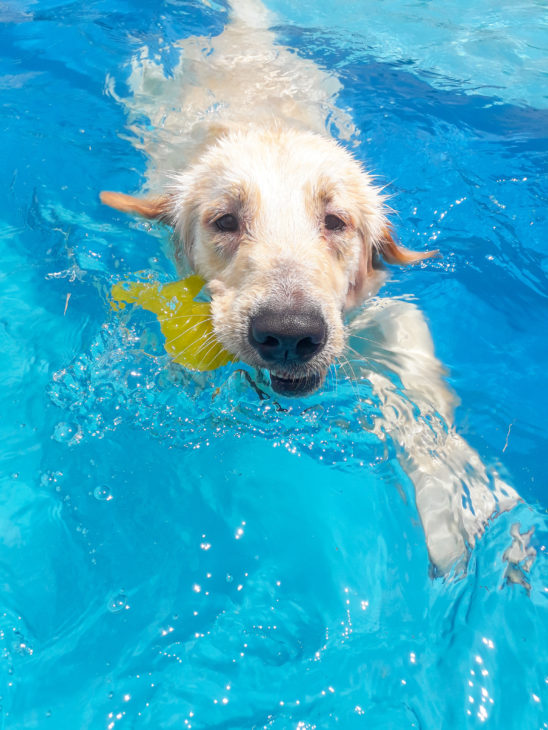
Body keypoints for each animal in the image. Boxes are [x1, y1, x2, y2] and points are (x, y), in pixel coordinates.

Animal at [99, 0, 524, 572]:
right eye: (225, 221)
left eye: (336, 221)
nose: (288, 334)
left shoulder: (377, 309)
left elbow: (413, 365)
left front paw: (459, 497)